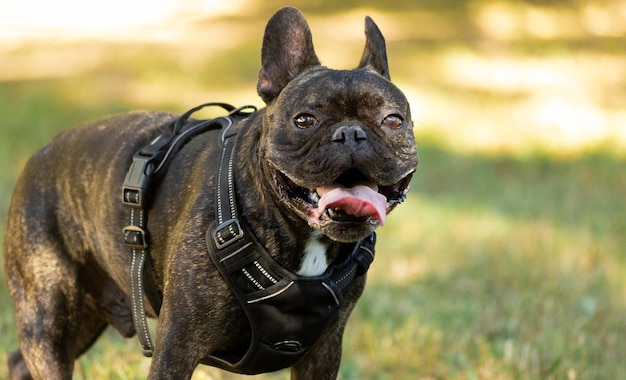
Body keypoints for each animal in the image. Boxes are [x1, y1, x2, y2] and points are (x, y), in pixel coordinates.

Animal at [4, 6, 416, 380]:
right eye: (304, 120)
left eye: (393, 120)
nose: (351, 133)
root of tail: (39, 155)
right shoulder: (177, 347)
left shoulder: (324, 351)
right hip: (48, 314)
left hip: (85, 316)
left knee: (20, 361)